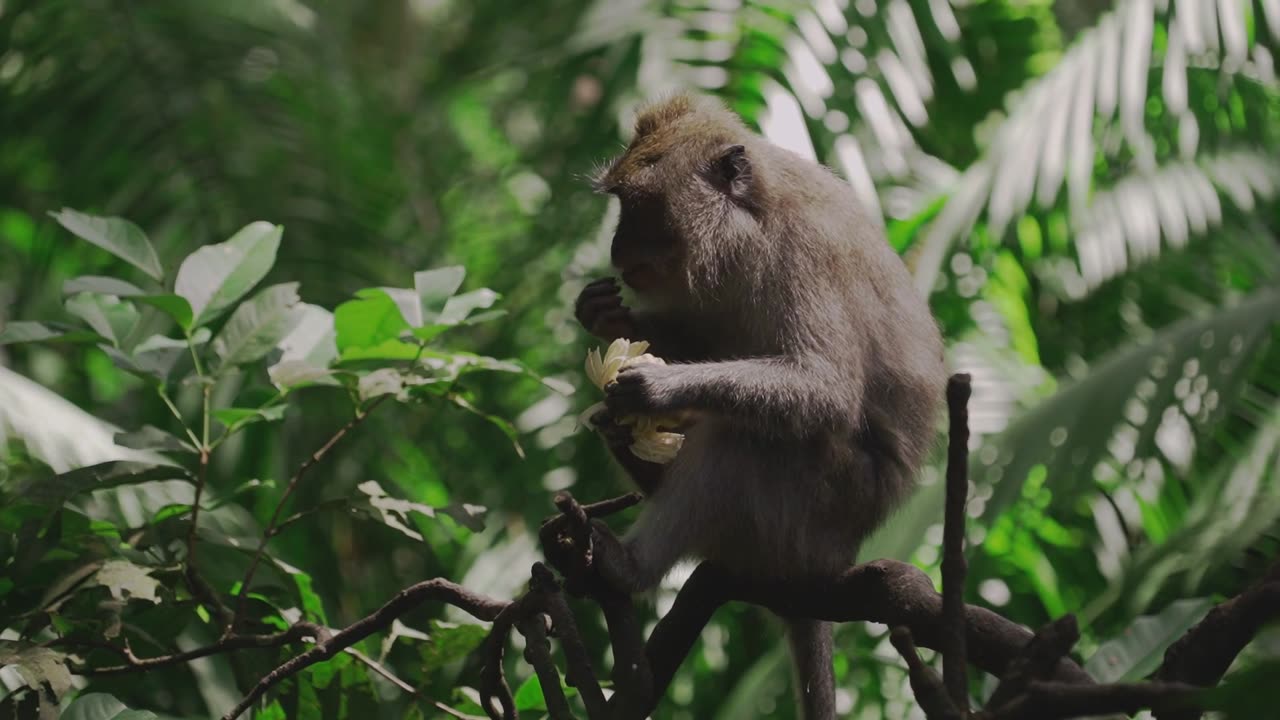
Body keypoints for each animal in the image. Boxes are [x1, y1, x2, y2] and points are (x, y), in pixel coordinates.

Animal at [576, 92, 947, 712]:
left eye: (638, 203)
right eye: (621, 202)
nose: (617, 249)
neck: (754, 217)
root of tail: (835, 559)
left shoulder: (805, 255)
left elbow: (824, 387)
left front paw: (655, 389)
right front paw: (606, 316)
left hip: (818, 510)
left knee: (742, 436)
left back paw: (628, 566)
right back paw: (625, 442)